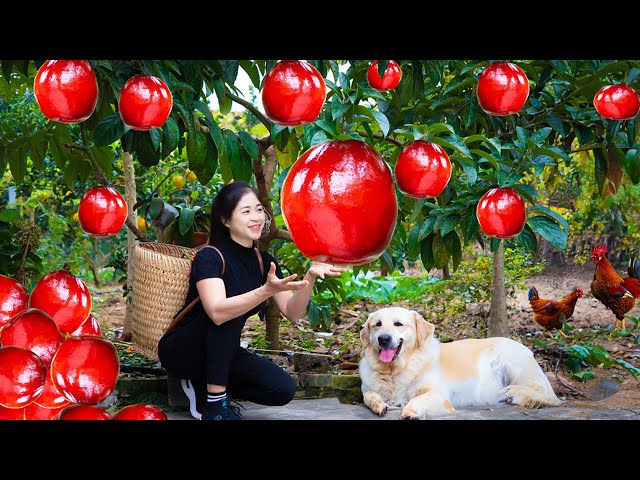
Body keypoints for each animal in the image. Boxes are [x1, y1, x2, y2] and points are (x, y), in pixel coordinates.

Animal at [358, 306, 564, 418]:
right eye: (377, 325)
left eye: (398, 324)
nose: (383, 339)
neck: (396, 370)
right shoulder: (368, 389)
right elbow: (369, 396)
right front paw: (380, 405)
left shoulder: (439, 394)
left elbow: (417, 399)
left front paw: (411, 412)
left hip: (513, 364)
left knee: (549, 397)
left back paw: (516, 393)